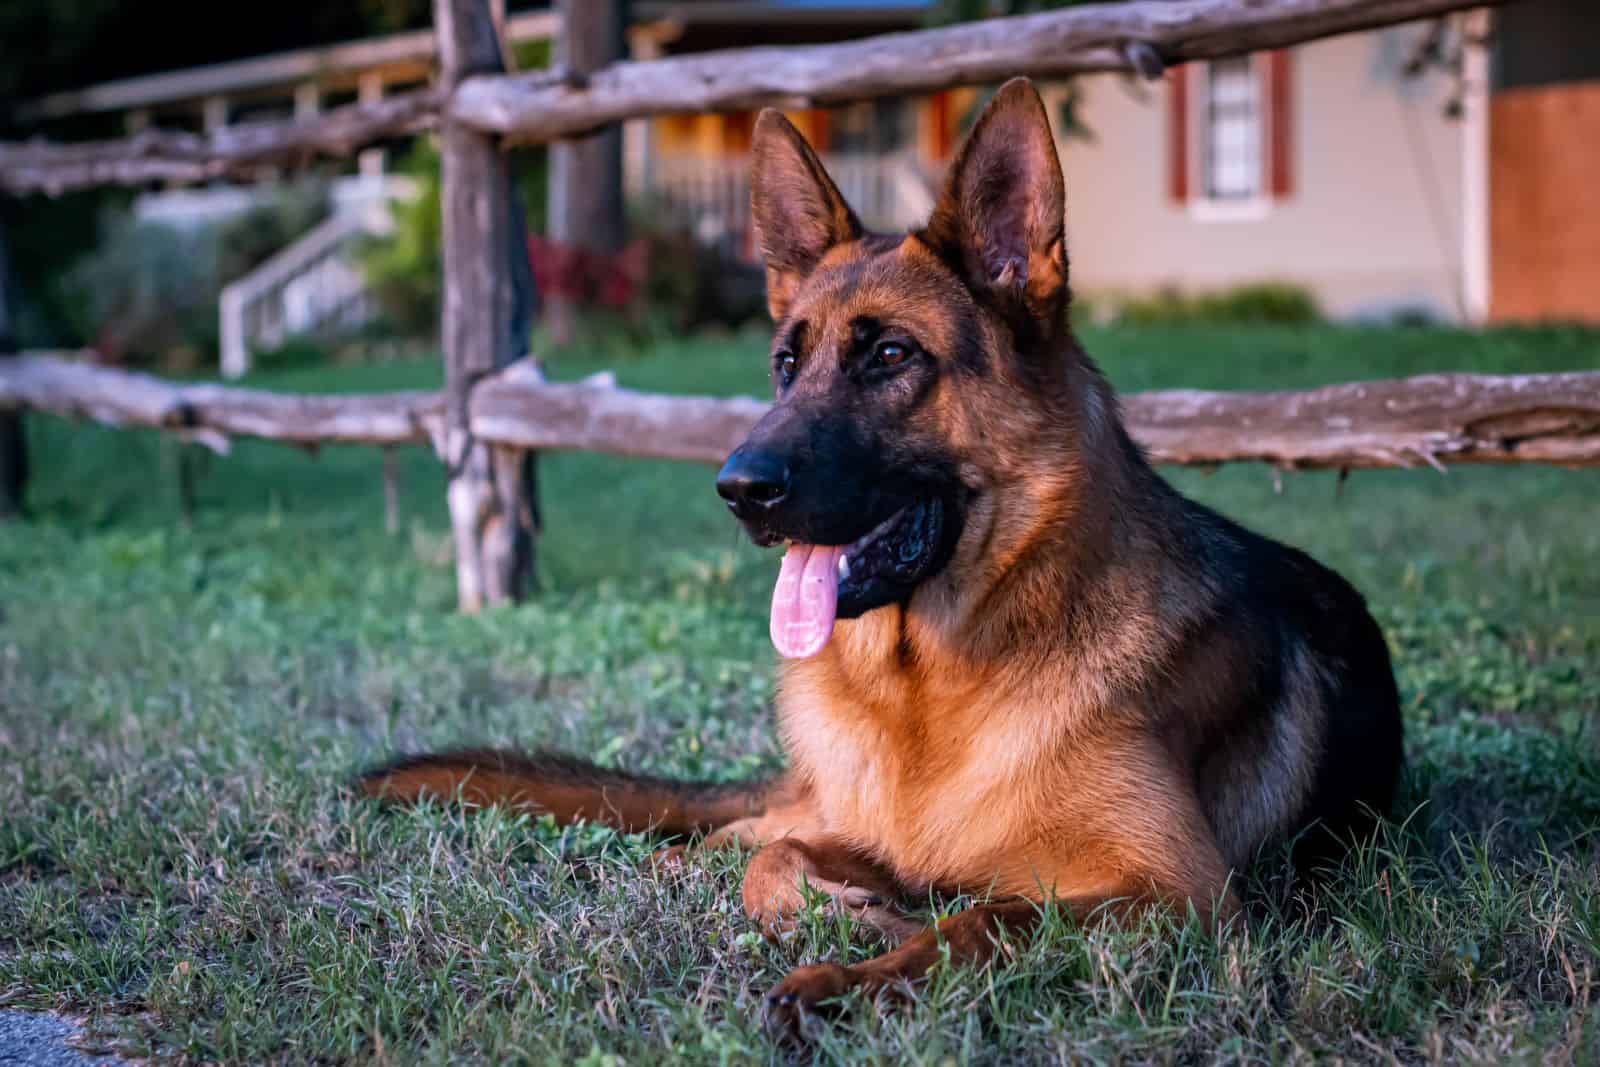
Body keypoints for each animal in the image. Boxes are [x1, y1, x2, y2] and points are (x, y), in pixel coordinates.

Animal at [366, 79, 1401, 1030]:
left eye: (892, 356)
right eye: (786, 364)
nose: (738, 488)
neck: (930, 690)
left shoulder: (1174, 889)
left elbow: (987, 916)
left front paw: (844, 976)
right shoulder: (866, 829)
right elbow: (778, 860)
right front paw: (848, 912)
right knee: (728, 835)